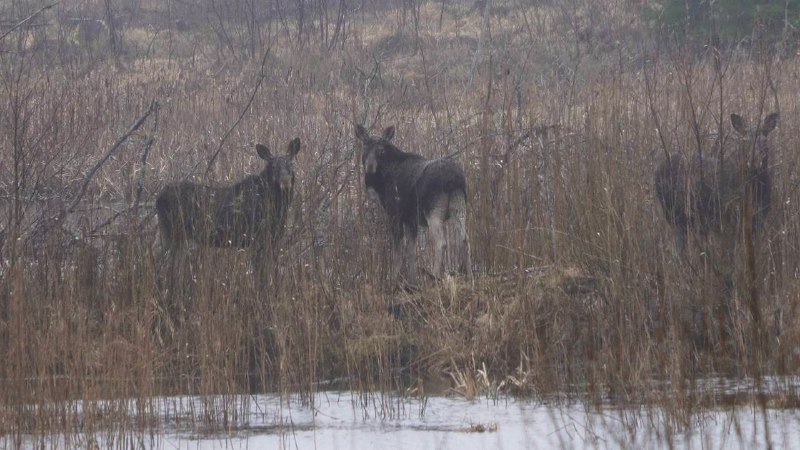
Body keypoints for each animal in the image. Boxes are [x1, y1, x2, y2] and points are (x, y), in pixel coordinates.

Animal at [354, 125, 472, 290]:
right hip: (459, 205)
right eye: (365, 145)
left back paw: (434, 277)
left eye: (381, 150)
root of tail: (455, 179)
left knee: (441, 243)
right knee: (465, 239)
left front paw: (393, 282)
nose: (370, 167)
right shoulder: (411, 219)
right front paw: (412, 283)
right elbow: (411, 251)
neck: (380, 185)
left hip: (433, 211)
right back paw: (470, 277)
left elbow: (398, 250)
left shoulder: (395, 215)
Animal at [652, 110, 780, 248]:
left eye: (765, 141)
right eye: (744, 141)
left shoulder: (759, 221)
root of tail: (659, 167)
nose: (754, 163)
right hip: (673, 215)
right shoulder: (729, 221)